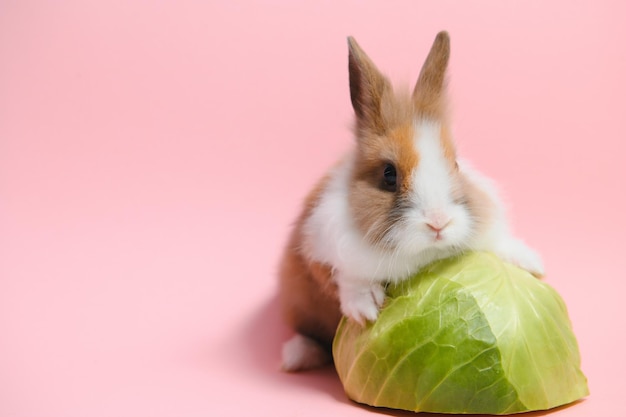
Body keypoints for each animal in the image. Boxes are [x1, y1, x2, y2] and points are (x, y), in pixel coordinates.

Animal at [276, 31, 540, 370]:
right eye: (389, 175)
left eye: (455, 165)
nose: (438, 223)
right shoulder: (320, 247)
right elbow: (345, 277)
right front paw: (366, 309)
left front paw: (530, 263)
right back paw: (296, 356)